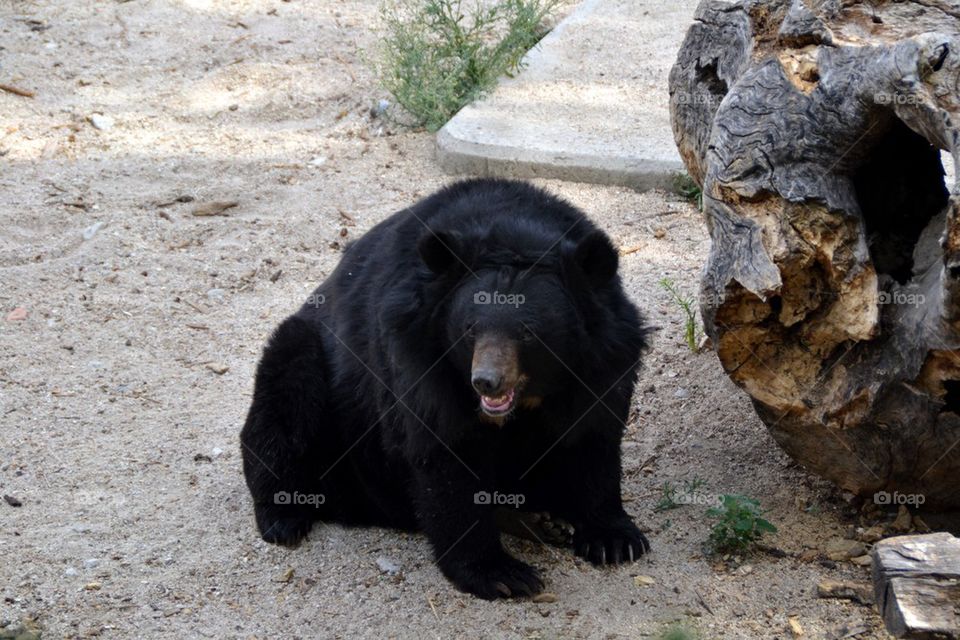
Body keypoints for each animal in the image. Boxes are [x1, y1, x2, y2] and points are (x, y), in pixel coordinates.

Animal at [240, 178, 650, 599]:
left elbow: (592, 434)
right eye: (470, 328)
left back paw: (541, 520)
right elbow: (446, 450)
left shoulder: (604, 355)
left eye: (528, 332)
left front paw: (614, 540)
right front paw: (502, 573)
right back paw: (284, 516)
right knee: (284, 404)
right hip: (321, 387)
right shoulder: (416, 353)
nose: (486, 380)